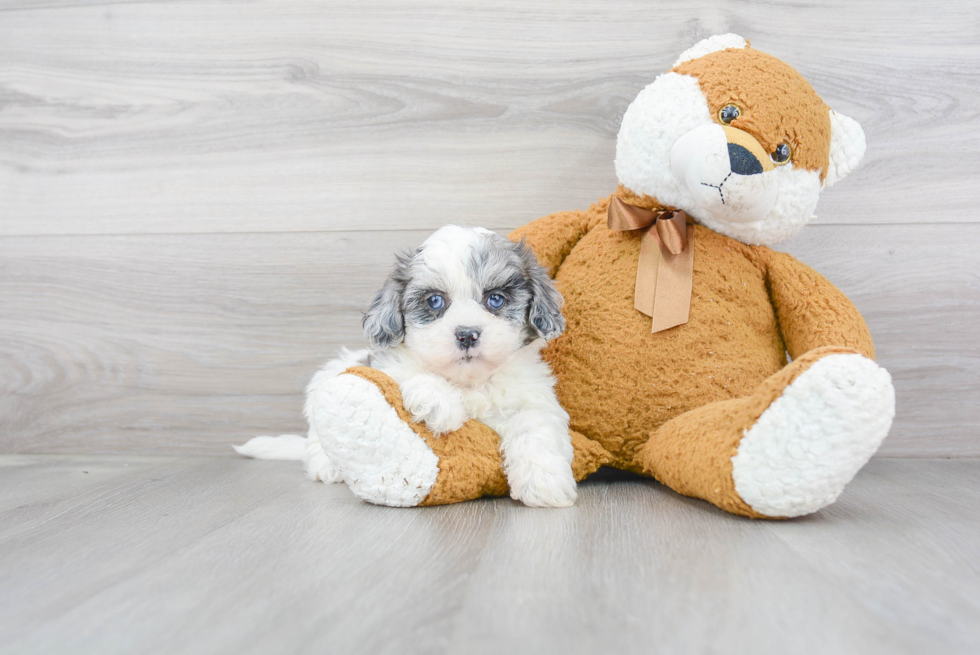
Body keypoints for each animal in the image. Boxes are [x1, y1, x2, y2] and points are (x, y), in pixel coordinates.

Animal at [235, 228, 576, 510]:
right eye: (435, 301)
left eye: (496, 299)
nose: (467, 334)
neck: (469, 382)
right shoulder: (387, 367)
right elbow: (411, 377)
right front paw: (438, 400)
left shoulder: (534, 398)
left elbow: (535, 426)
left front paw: (544, 483)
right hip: (329, 375)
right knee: (316, 437)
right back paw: (327, 465)